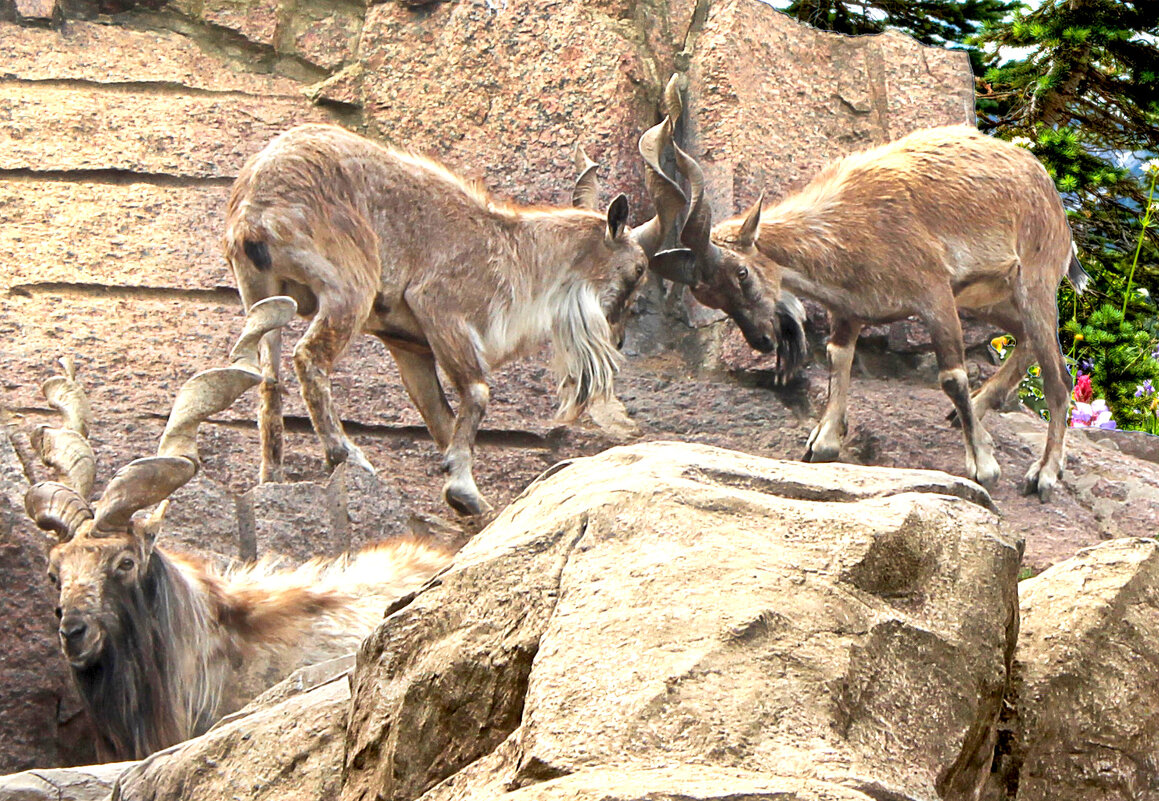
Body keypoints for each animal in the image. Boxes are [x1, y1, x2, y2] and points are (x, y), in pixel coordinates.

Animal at [221, 116, 681, 516]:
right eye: (638, 269)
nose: (619, 340)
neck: (515, 254)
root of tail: (254, 207)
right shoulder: (443, 312)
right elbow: (477, 392)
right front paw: (464, 492)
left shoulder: (407, 345)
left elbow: (439, 413)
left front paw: (468, 493)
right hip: (348, 286)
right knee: (308, 357)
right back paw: (347, 457)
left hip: (261, 293)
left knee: (268, 378)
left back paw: (271, 479)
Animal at [653, 100, 1084, 500]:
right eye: (707, 295)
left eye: (741, 273)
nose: (761, 340)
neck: (846, 224)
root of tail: (1052, 195)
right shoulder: (848, 310)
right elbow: (838, 356)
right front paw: (822, 442)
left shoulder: (934, 292)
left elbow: (952, 376)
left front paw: (983, 464)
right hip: (985, 297)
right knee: (1026, 340)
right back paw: (974, 412)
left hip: (1033, 281)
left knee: (1058, 378)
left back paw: (1044, 473)